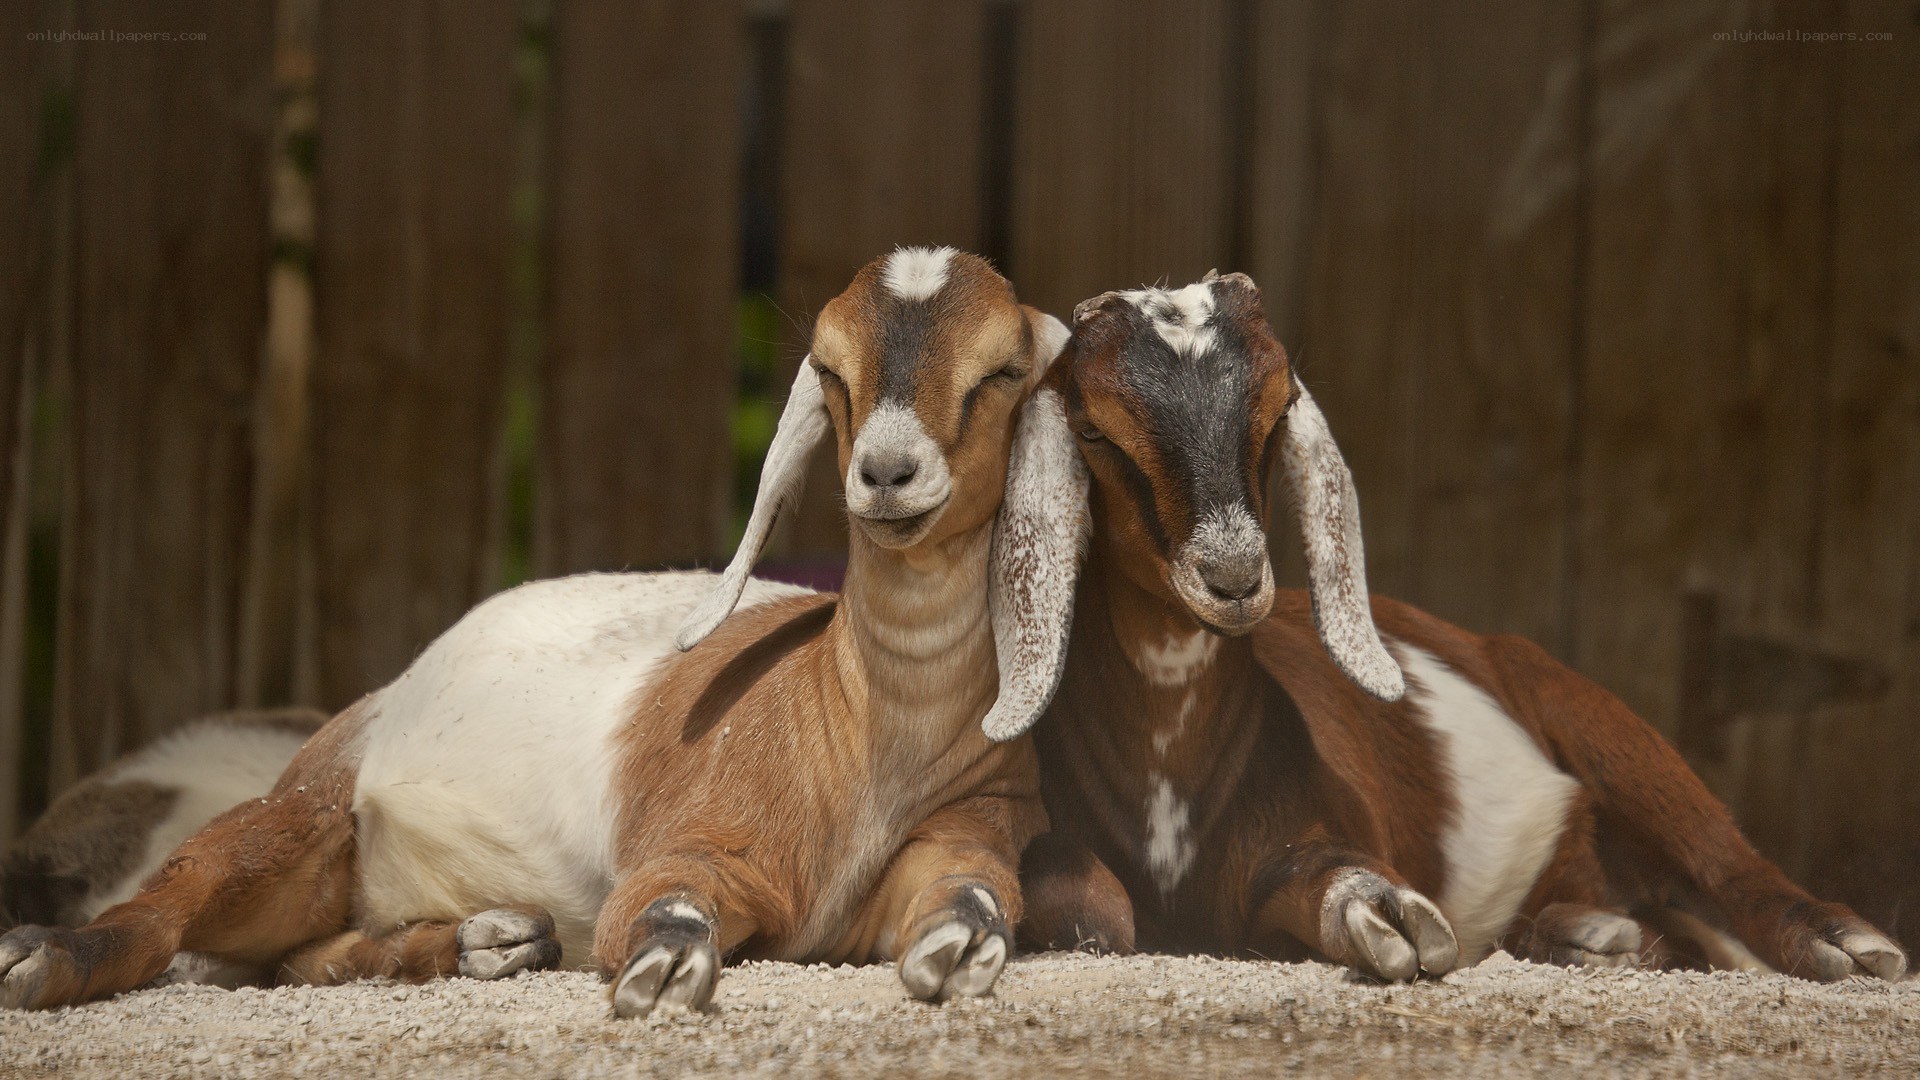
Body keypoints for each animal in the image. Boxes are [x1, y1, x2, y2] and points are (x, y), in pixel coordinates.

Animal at [0, 247, 1086, 1015]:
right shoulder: (685, 845)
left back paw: (488, 939)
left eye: (1002, 371)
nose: (887, 474)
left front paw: (962, 952)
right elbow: (663, 909)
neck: (860, 730)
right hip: (298, 813)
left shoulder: (967, 837)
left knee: (302, 958)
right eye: (830, 366)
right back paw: (39, 960)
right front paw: (661, 970)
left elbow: (971, 899)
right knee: (176, 901)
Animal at [1014, 271, 1907, 984]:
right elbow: (1074, 895)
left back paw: (1842, 943)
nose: (1233, 579)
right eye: (1092, 430)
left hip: (1603, 723)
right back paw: (1593, 935)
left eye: (1278, 409)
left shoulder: (1322, 824)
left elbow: (1332, 871)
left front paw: (1381, 913)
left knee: (1719, 856)